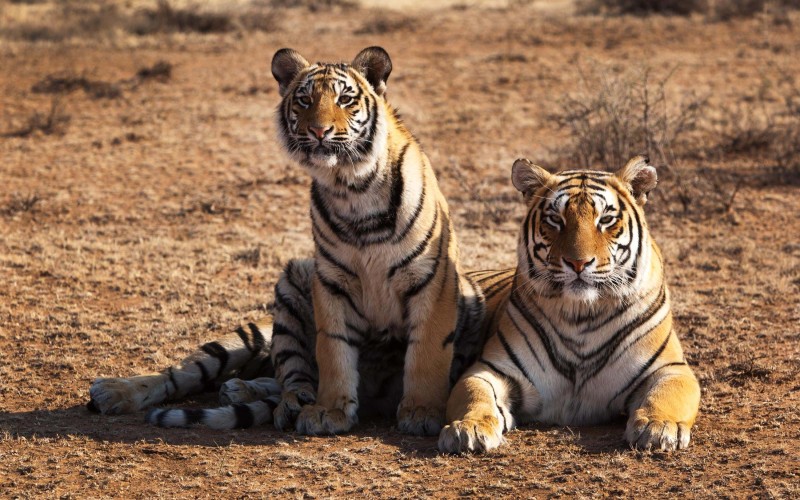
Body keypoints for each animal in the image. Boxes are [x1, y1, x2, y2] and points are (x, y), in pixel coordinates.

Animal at [88, 46, 500, 436]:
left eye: (345, 99)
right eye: (304, 100)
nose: (318, 132)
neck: (353, 187)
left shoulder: (433, 279)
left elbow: (426, 352)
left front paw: (421, 413)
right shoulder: (331, 281)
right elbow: (332, 350)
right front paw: (329, 411)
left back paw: (243, 391)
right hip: (276, 303)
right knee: (221, 372)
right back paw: (121, 391)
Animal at [437, 156, 701, 453]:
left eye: (606, 219)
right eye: (555, 219)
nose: (578, 263)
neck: (581, 314)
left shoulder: (669, 369)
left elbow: (667, 394)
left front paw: (659, 427)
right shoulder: (492, 369)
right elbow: (474, 394)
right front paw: (468, 428)